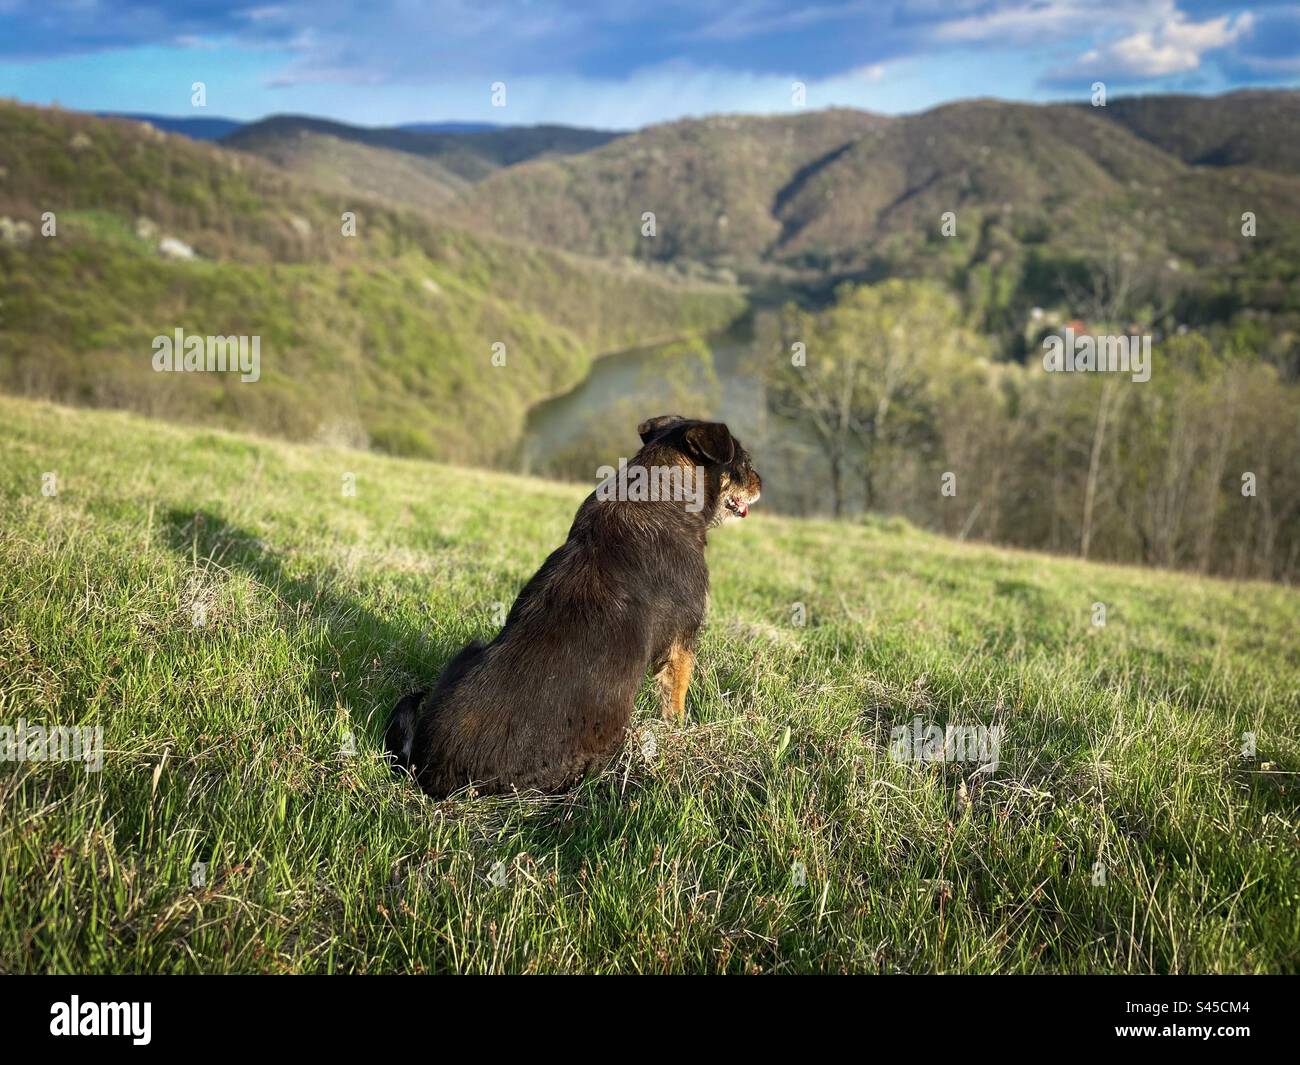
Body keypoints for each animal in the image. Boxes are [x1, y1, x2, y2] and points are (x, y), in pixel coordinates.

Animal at [379, 416, 759, 801]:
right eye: (743, 461)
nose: (760, 482)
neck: (662, 487)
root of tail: (425, 767)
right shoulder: (682, 642)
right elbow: (675, 701)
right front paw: (679, 733)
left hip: (469, 649)